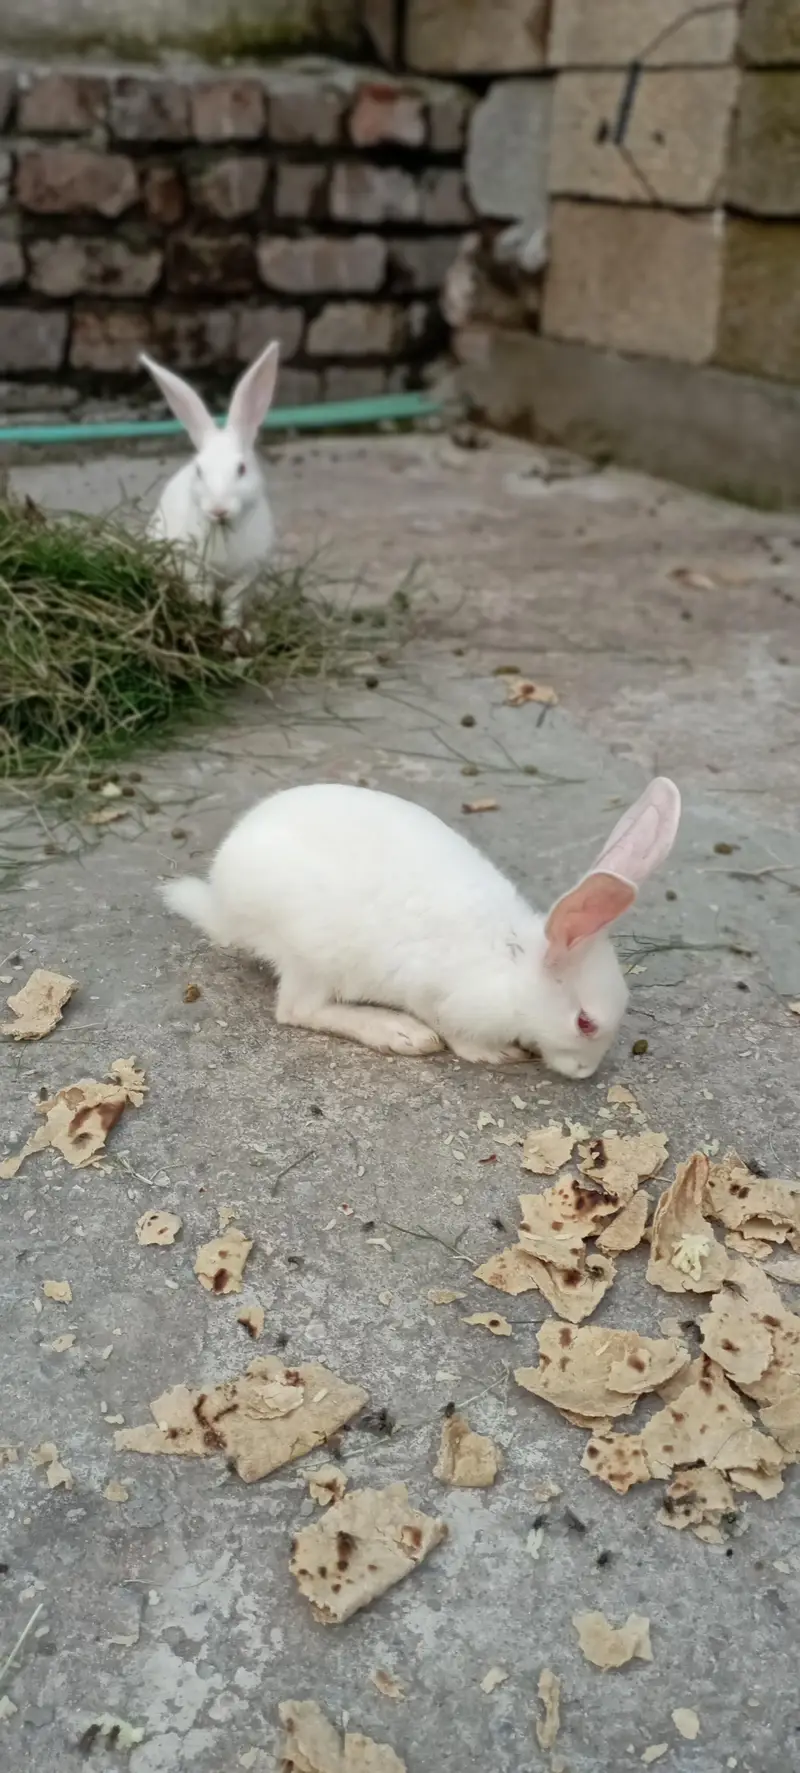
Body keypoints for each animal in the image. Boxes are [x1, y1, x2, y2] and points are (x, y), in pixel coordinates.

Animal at [141, 339, 280, 628]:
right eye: (199, 470)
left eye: (241, 469)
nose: (218, 509)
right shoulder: (192, 566)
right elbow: (200, 592)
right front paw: (202, 615)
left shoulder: (248, 574)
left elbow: (231, 604)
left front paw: (231, 630)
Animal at [160, 775, 681, 1076]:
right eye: (584, 1022)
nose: (585, 1071)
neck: (513, 966)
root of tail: (222, 901)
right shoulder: (444, 1000)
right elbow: (460, 1036)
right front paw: (496, 1054)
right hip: (312, 953)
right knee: (297, 1009)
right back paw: (400, 1033)